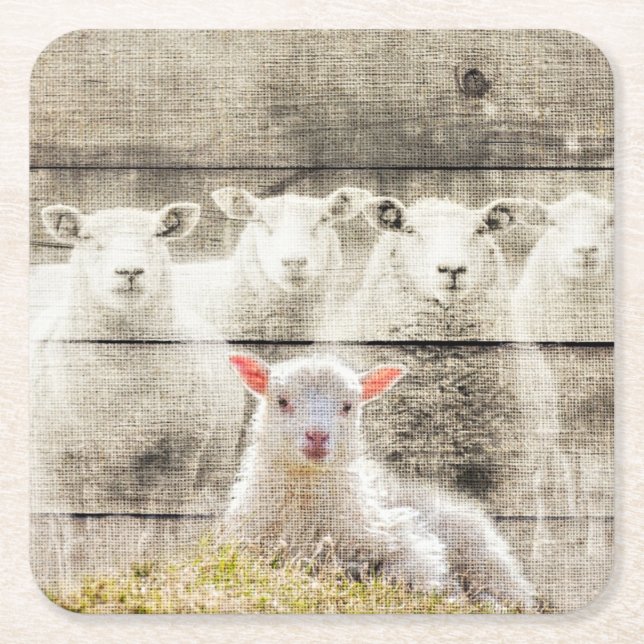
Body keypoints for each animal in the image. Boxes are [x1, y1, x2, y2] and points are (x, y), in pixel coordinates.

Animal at [31, 203, 245, 514]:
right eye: (87, 237)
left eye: (157, 235)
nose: (130, 271)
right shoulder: (57, 470)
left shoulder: (179, 462)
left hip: (214, 471)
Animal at [224, 353, 537, 609]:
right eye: (282, 401)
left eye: (347, 406)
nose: (317, 437)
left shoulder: (406, 539)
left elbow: (408, 574)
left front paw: (447, 593)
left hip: (482, 557)